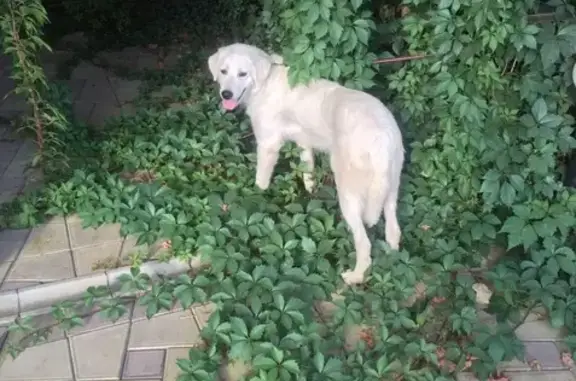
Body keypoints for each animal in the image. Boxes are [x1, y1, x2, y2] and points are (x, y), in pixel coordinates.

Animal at [208, 43, 404, 284]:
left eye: (242, 74)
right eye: (223, 71)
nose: (225, 94)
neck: (266, 81)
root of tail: (381, 136)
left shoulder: (268, 145)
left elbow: (261, 180)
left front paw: (256, 197)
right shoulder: (304, 142)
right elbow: (307, 170)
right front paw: (311, 191)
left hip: (349, 195)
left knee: (364, 243)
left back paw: (355, 276)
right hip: (390, 188)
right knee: (393, 229)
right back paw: (392, 257)